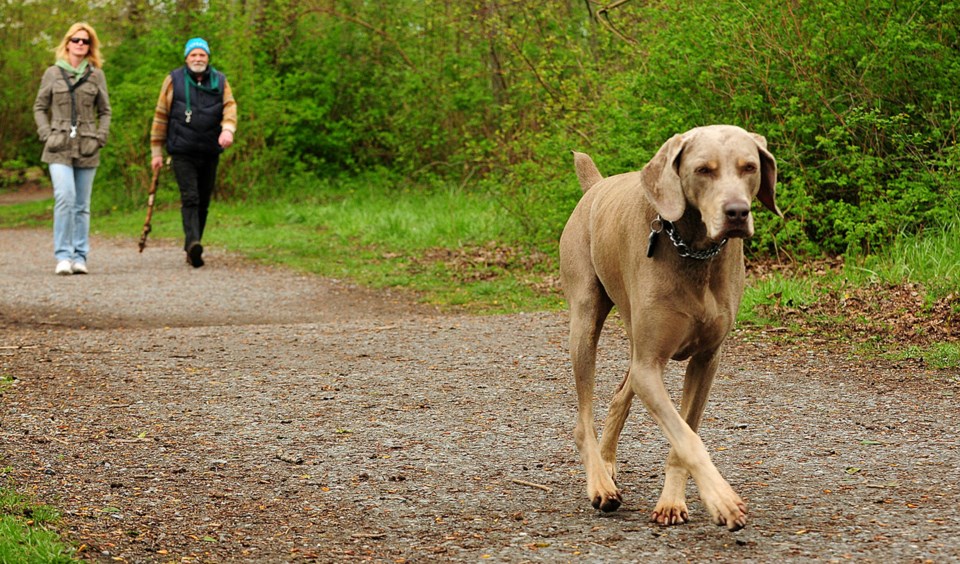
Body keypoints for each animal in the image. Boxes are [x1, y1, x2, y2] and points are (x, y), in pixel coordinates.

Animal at [564, 125, 780, 532]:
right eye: (703, 170)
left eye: (749, 166)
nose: (737, 212)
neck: (695, 253)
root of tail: (595, 186)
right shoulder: (650, 365)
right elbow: (687, 439)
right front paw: (723, 500)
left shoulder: (706, 360)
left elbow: (685, 432)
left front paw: (672, 501)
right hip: (584, 319)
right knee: (584, 415)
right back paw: (599, 482)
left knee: (620, 394)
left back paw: (607, 461)